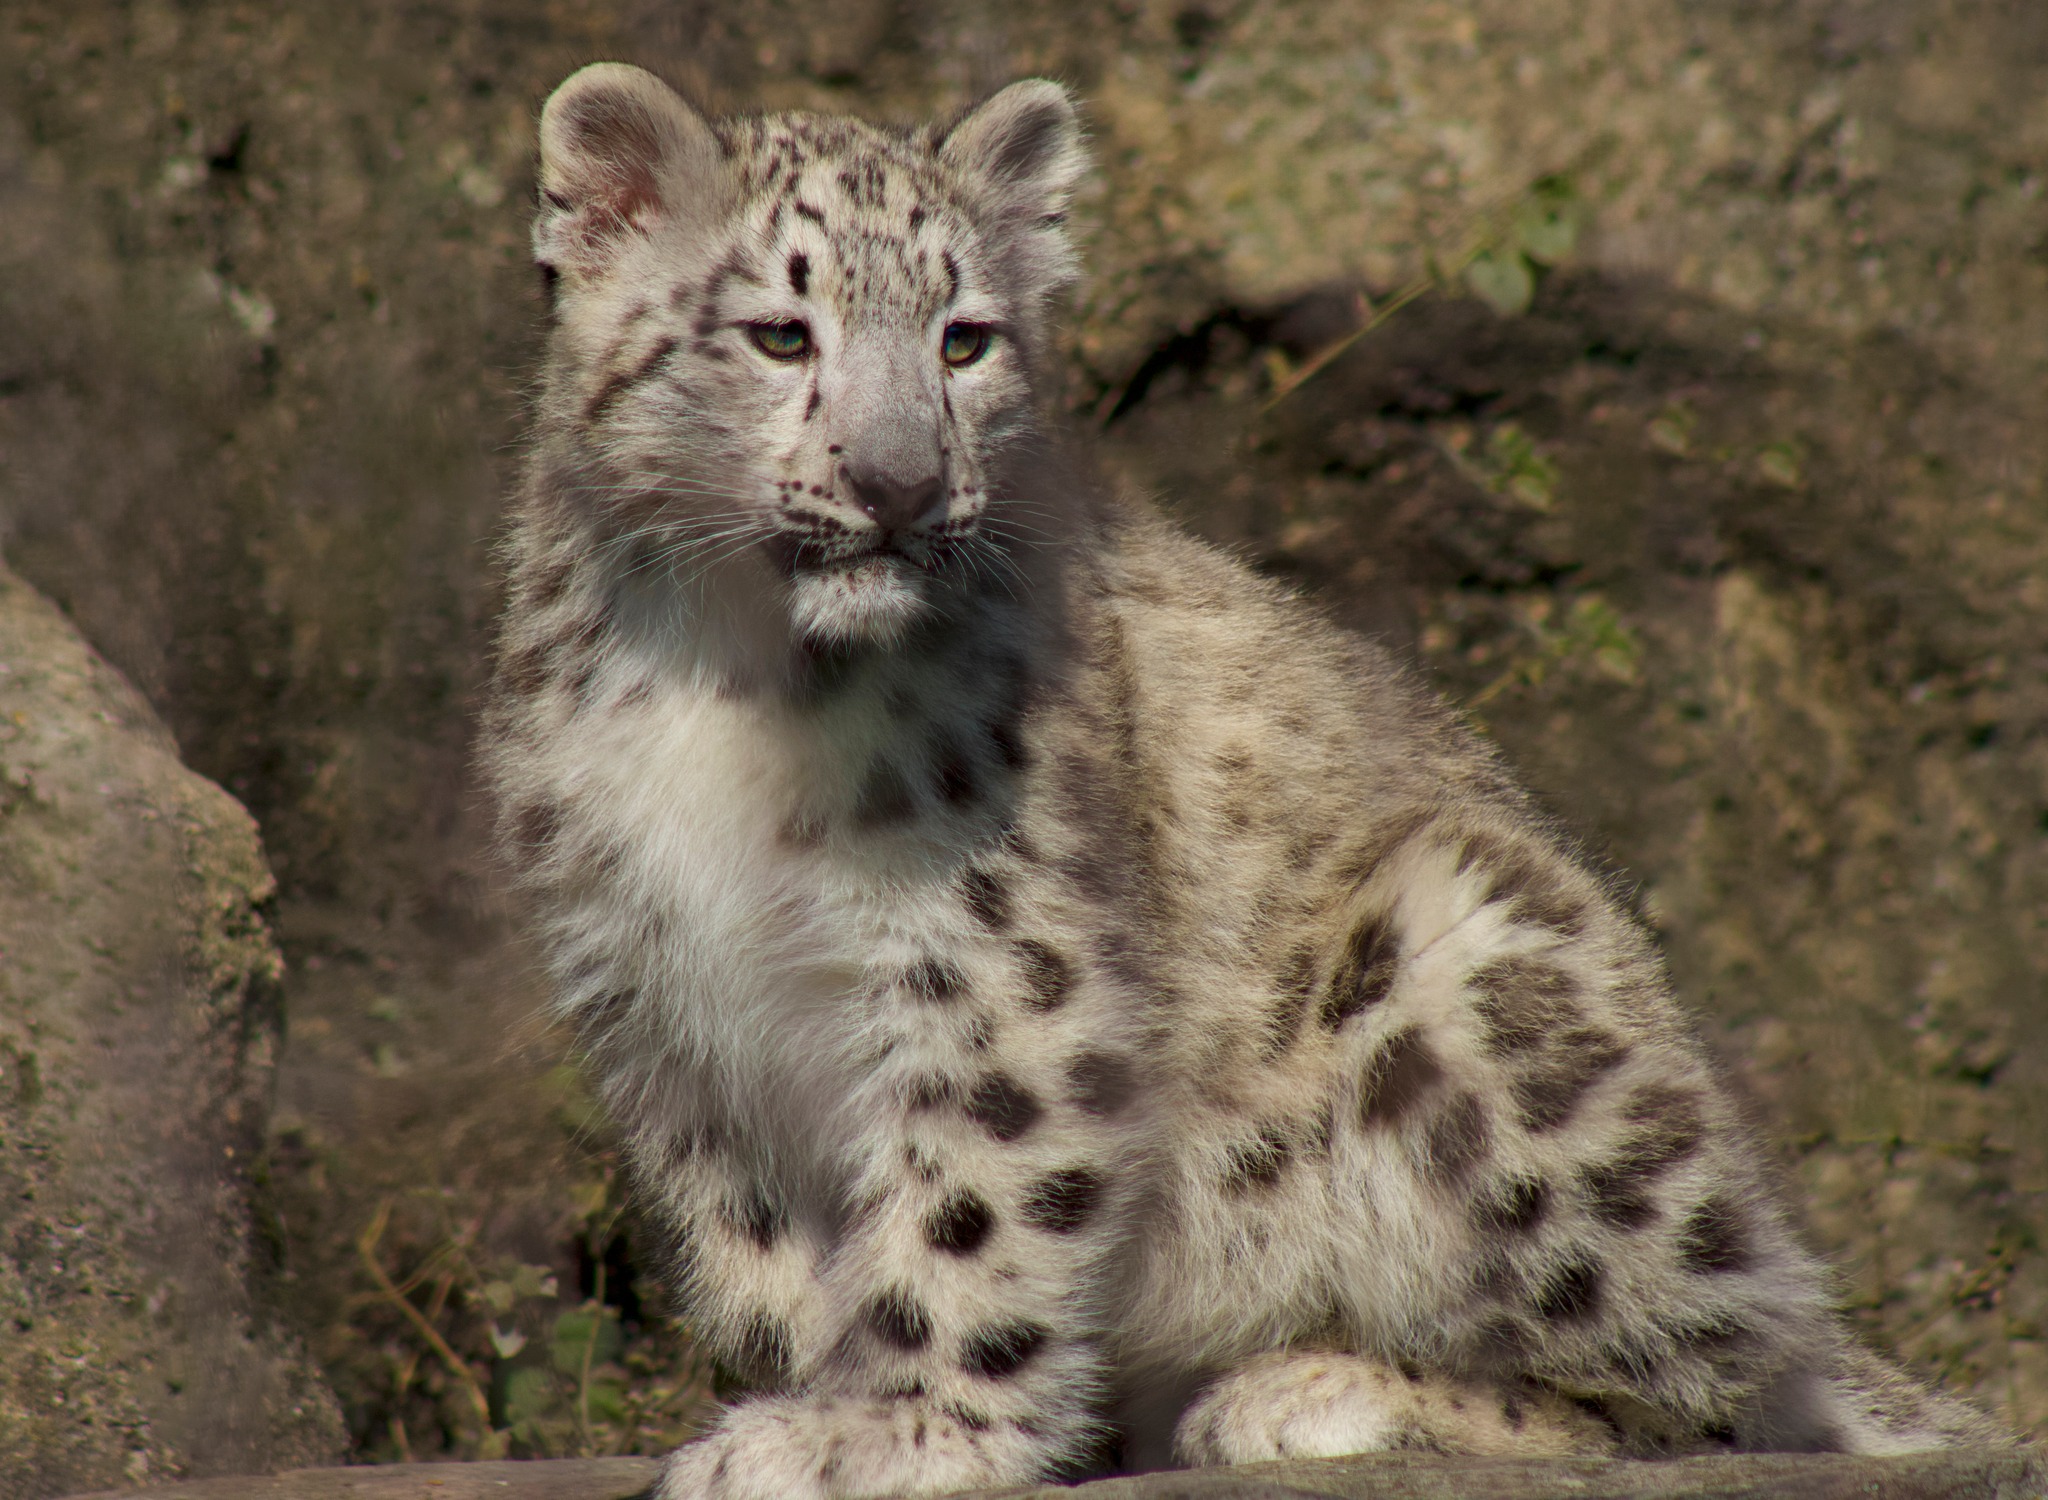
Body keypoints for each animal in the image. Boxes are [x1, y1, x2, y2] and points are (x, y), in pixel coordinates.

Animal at [480, 61, 2004, 1499]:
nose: (899, 484)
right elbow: (760, 1254)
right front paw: (809, 1397)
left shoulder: (989, 958)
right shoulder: (660, 999)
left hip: (1475, 968)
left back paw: (1308, 1391)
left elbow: (969, 1202)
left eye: (964, 339)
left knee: (1708, 1388)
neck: (730, 682)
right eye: (779, 332)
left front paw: (896, 1429)